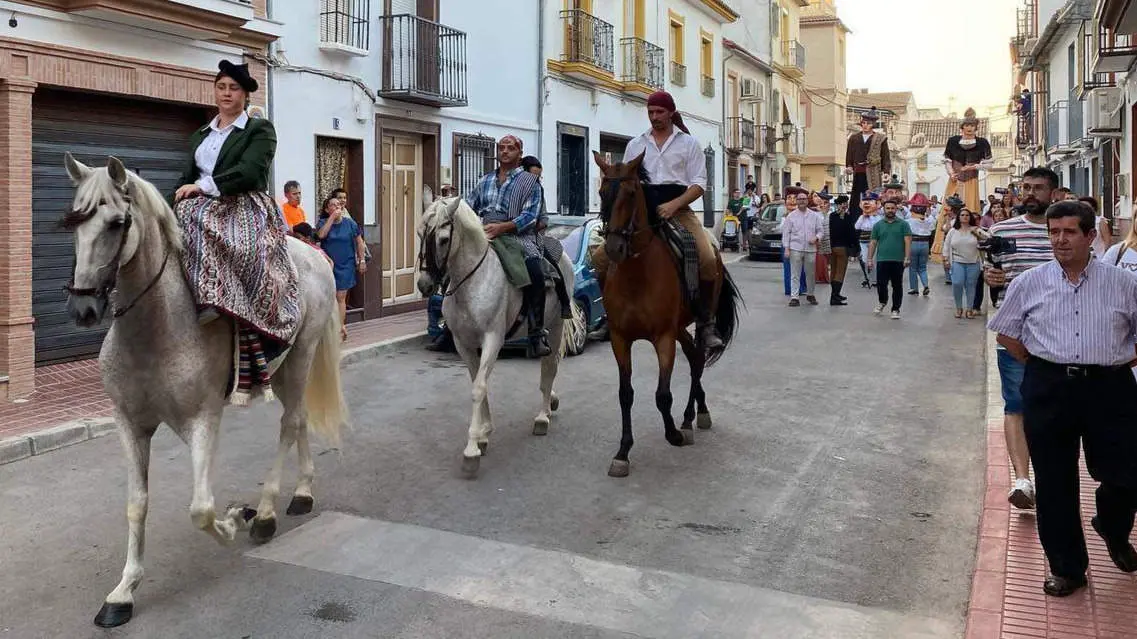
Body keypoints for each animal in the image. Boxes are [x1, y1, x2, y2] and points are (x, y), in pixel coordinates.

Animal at [61, 155, 345, 627]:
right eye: (73, 221)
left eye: (118, 223)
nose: (83, 307)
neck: (155, 328)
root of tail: (314, 254)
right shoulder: (129, 424)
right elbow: (136, 503)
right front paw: (122, 593)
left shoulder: (202, 420)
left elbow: (202, 508)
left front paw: (237, 519)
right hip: (283, 369)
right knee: (300, 418)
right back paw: (302, 493)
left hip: (302, 354)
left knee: (289, 424)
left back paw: (265, 514)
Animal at [416, 196, 568, 475]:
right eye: (420, 234)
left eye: (443, 239)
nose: (425, 284)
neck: (472, 282)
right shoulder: (464, 344)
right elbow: (478, 382)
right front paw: (484, 433)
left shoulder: (492, 340)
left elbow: (478, 388)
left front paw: (472, 449)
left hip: (555, 327)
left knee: (549, 368)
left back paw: (543, 416)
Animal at [591, 151, 741, 475]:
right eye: (602, 192)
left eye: (631, 193)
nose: (614, 248)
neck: (636, 273)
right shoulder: (620, 339)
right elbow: (625, 394)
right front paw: (623, 452)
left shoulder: (663, 337)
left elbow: (662, 395)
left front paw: (672, 434)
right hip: (680, 328)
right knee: (695, 358)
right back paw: (693, 414)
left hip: (692, 321)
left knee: (698, 360)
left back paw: (688, 419)